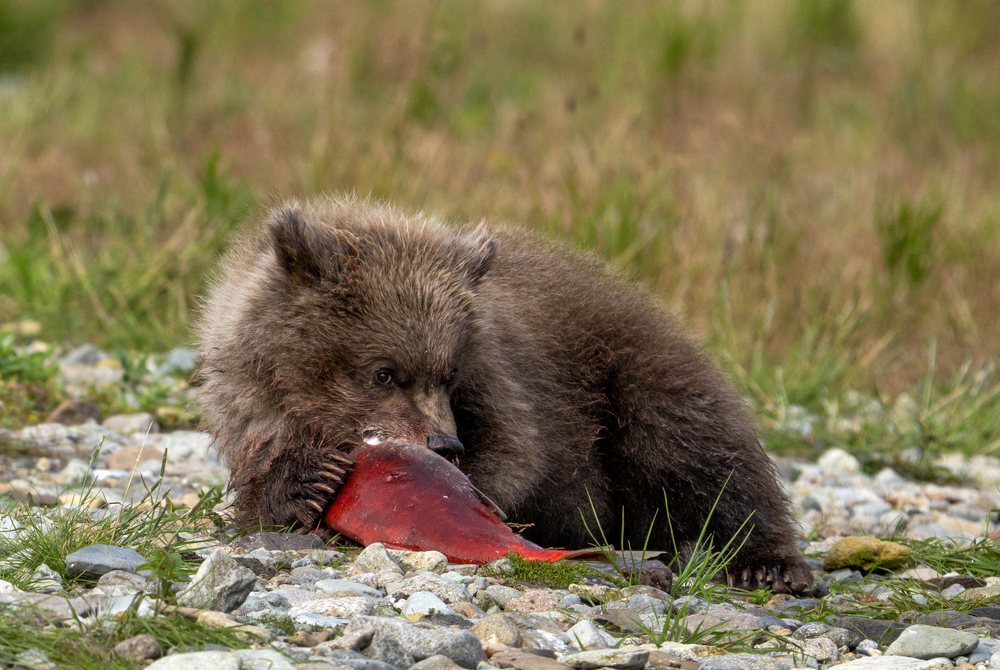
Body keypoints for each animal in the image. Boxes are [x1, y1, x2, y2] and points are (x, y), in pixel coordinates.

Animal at [195, 194, 813, 594]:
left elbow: (517, 451)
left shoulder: (503, 374)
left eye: (448, 372)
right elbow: (260, 486)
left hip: (635, 370)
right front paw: (308, 481)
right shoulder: (250, 404)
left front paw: (467, 495)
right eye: (384, 371)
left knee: (698, 452)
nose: (443, 445)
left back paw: (767, 565)